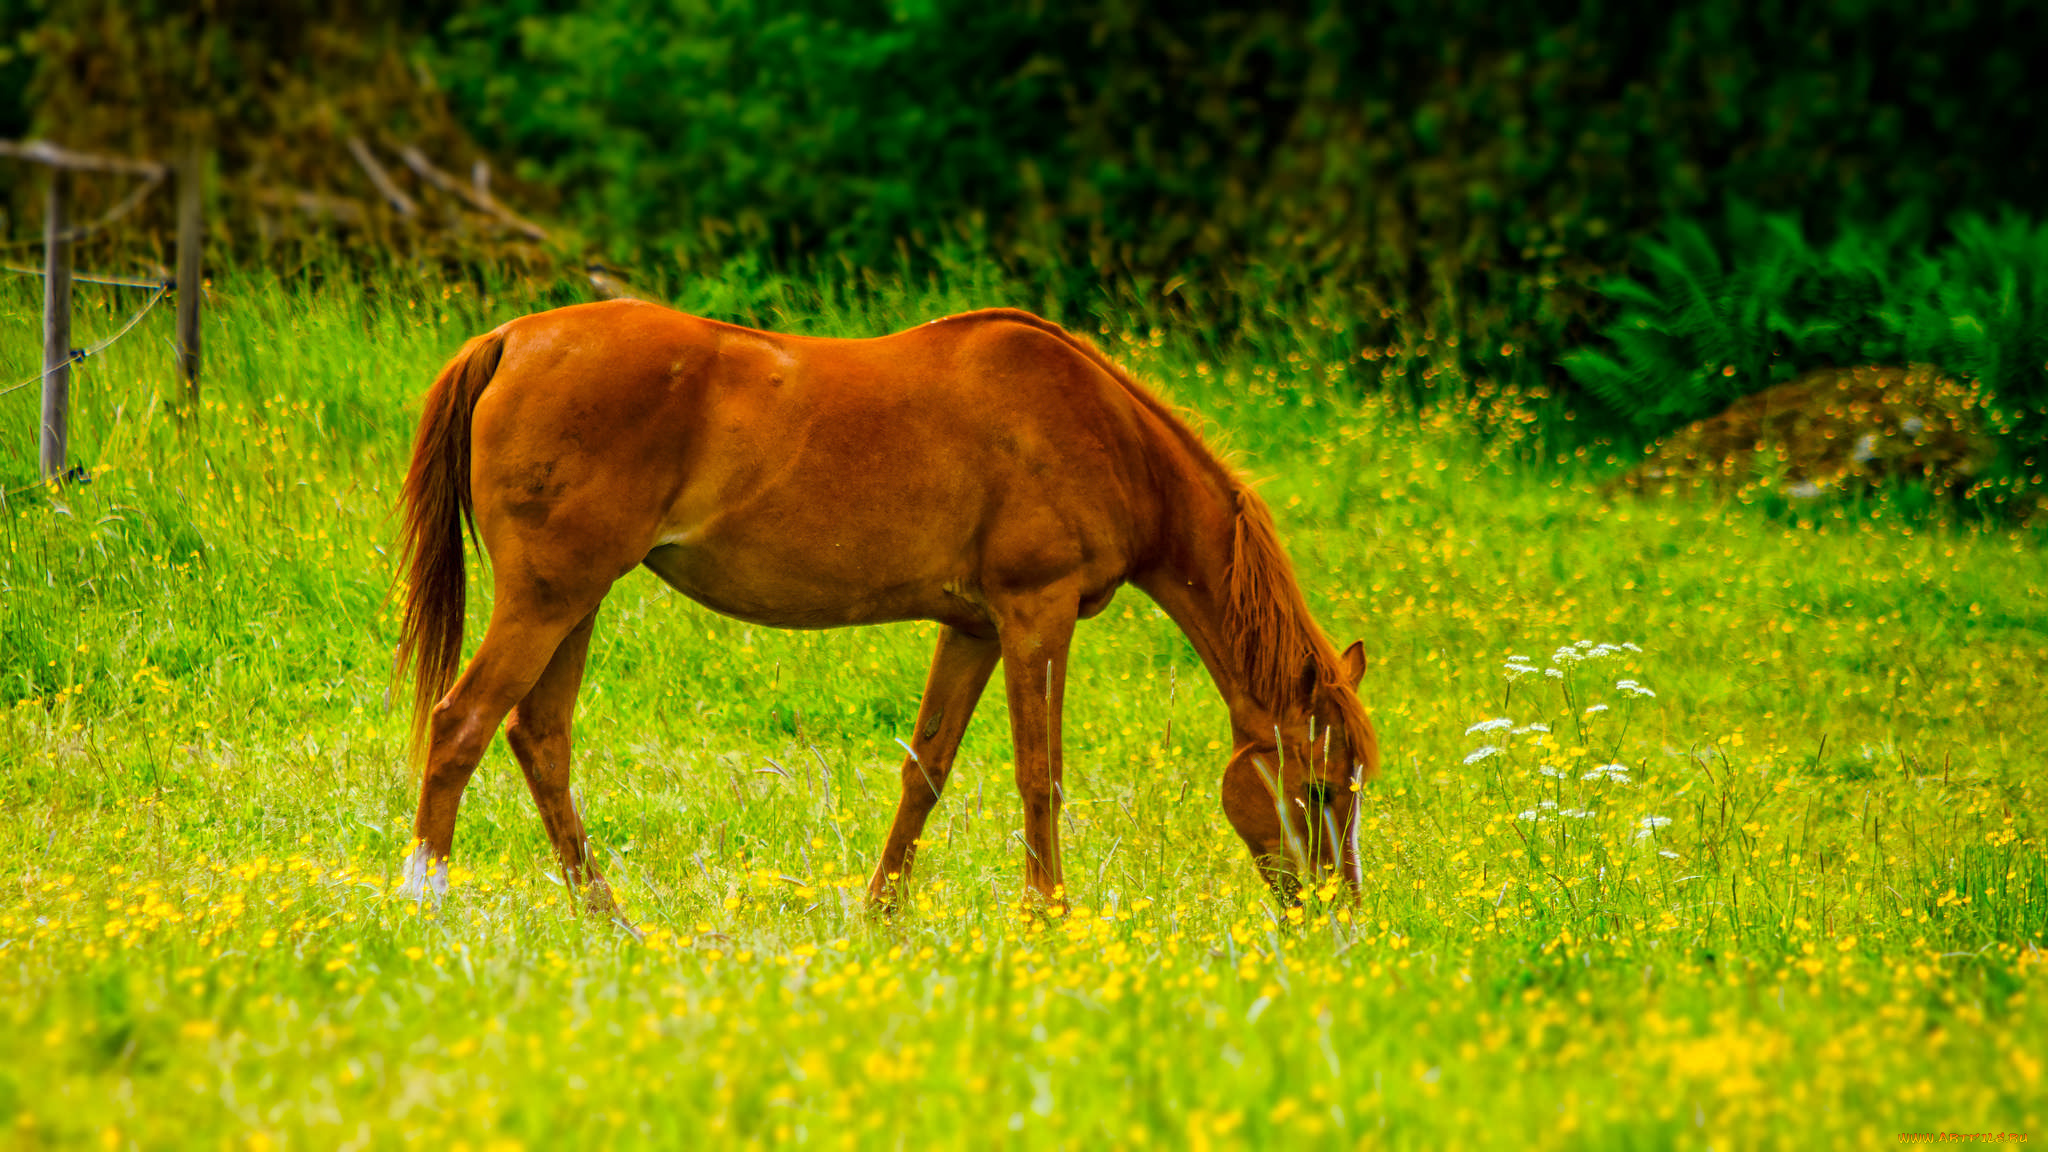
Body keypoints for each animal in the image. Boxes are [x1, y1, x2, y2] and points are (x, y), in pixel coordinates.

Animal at [391, 301, 1384, 910]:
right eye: (1319, 787)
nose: (1337, 915)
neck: (1101, 431)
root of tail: (513, 339)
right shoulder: (1037, 612)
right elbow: (1041, 775)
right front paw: (1049, 920)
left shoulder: (973, 628)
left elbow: (925, 775)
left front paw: (880, 919)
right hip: (549, 597)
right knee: (462, 724)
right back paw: (425, 899)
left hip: (577, 601)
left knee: (539, 740)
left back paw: (610, 919)